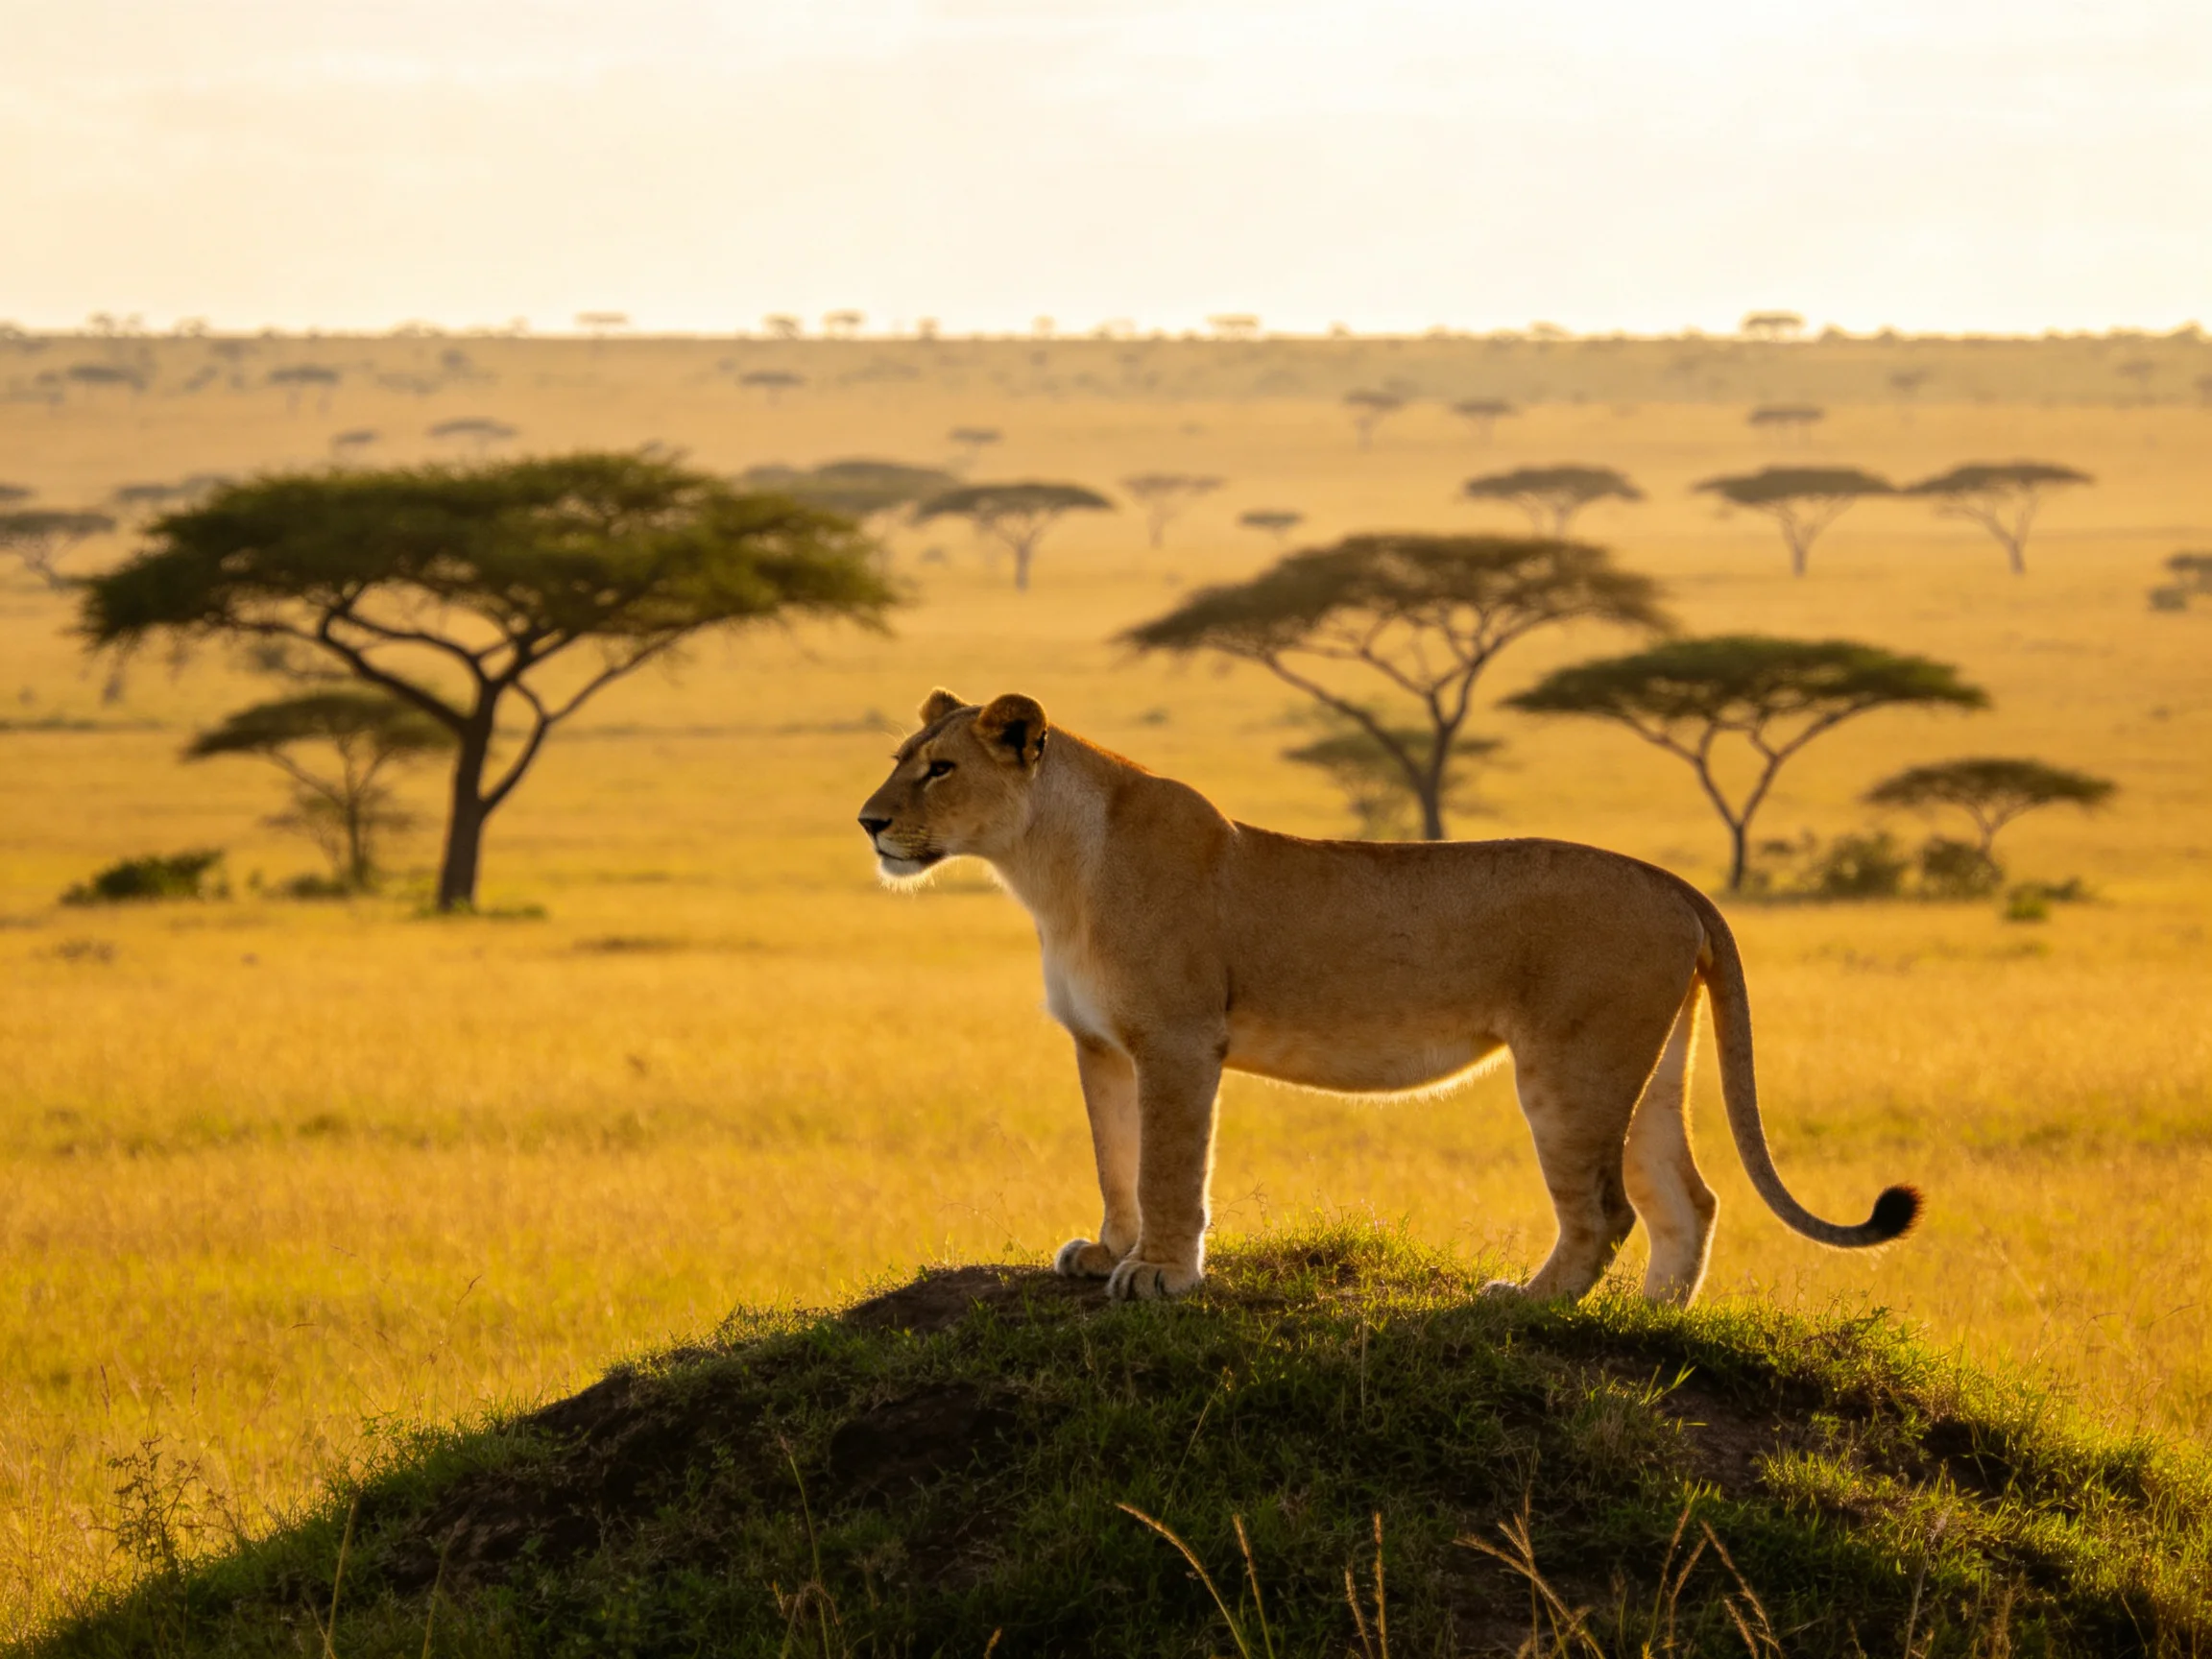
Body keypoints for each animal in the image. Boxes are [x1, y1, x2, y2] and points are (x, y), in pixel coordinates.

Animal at [857, 689, 1920, 1305]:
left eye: (940, 768)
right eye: (899, 756)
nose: (868, 822)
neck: (1047, 866)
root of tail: (1673, 883)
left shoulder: (1178, 1041)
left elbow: (1167, 1169)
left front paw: (1160, 1273)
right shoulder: (1103, 1045)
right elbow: (1115, 1159)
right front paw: (1107, 1250)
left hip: (1572, 1067)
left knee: (1607, 1209)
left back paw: (1530, 1304)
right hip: (1652, 1065)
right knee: (1687, 1198)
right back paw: (1649, 1324)